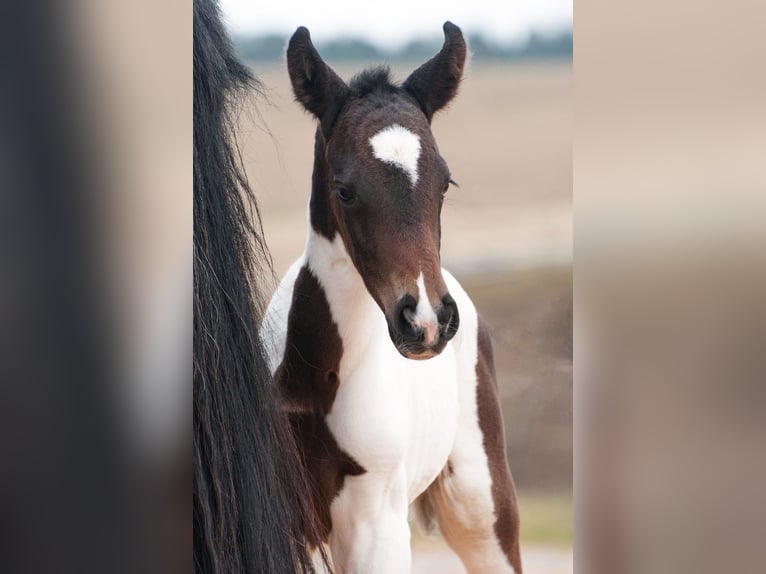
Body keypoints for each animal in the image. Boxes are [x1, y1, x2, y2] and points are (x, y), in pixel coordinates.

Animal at [263, 22, 522, 574]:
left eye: (445, 183)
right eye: (344, 189)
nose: (426, 320)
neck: (318, 379)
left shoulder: (375, 524)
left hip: (484, 512)